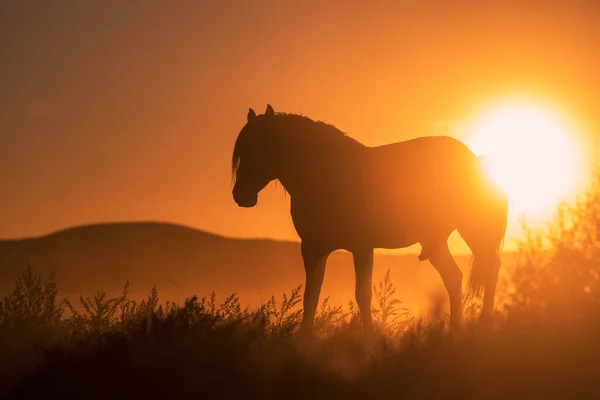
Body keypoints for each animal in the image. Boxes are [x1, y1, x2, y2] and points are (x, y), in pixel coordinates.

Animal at [232, 104, 508, 334]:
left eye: (261, 146)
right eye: (242, 150)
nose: (240, 196)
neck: (327, 177)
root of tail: (475, 160)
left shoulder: (361, 247)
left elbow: (362, 294)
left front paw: (369, 338)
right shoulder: (312, 248)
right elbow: (311, 295)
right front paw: (304, 339)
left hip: (472, 230)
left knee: (490, 267)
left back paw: (484, 324)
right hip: (435, 242)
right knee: (454, 278)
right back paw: (455, 329)